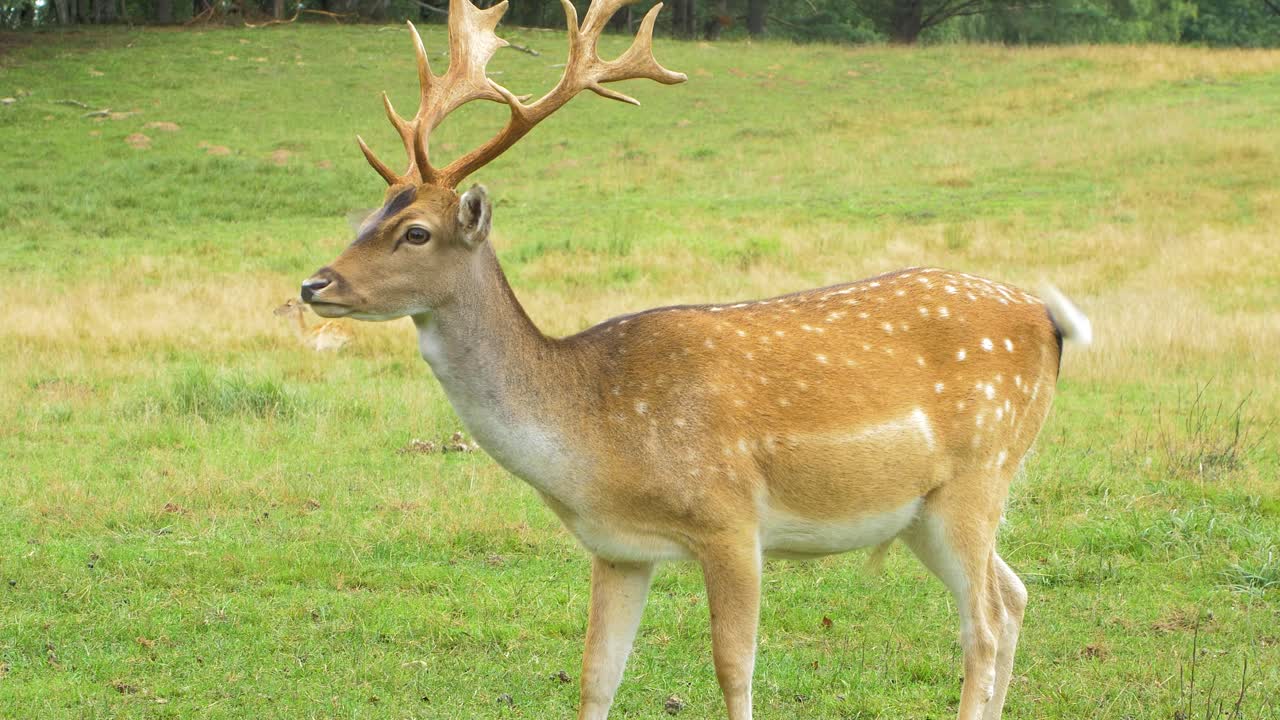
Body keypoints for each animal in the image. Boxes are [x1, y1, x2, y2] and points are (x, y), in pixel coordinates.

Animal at [297, 1, 1092, 717]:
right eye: (365, 218)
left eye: (416, 232)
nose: (314, 285)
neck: (592, 432)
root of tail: (1047, 321)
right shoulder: (618, 548)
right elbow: (596, 677)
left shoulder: (730, 519)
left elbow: (734, 670)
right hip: (924, 510)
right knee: (1016, 595)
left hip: (980, 471)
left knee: (984, 622)